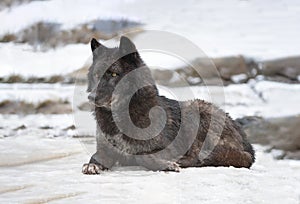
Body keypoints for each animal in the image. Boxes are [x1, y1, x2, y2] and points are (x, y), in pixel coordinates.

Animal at [82, 36, 255, 174]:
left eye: (113, 74)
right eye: (96, 75)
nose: (91, 97)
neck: (120, 117)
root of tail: (249, 146)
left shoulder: (168, 148)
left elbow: (145, 158)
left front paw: (167, 165)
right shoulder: (105, 150)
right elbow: (95, 157)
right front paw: (91, 166)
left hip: (193, 111)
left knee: (200, 156)